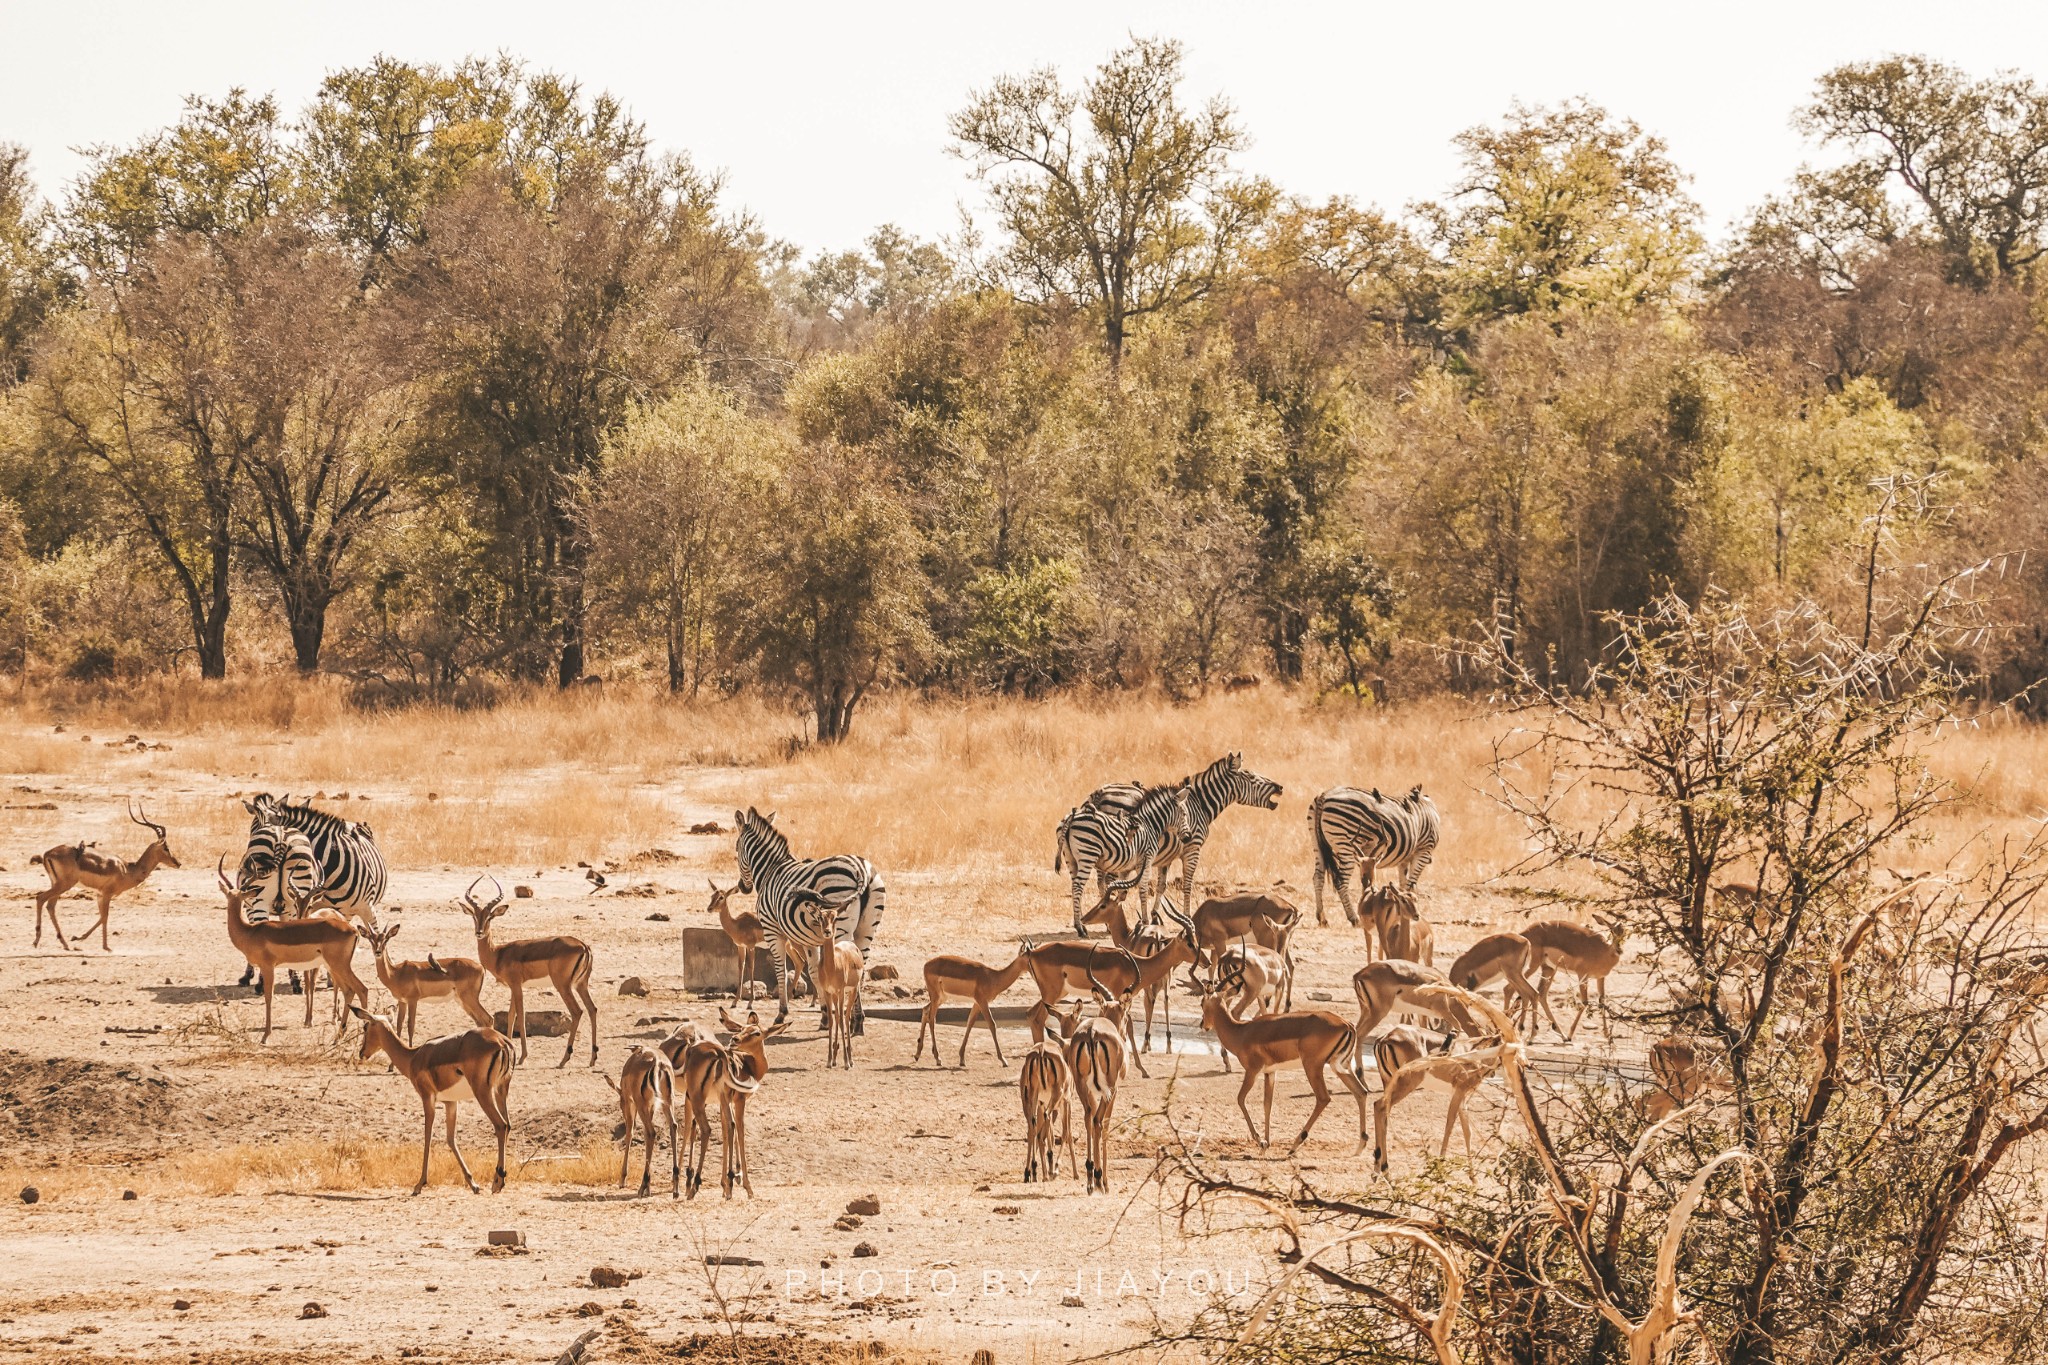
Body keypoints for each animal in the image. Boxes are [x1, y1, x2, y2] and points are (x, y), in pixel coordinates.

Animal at [733, 806, 884, 1031]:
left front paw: (782, 1013)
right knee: (861, 967)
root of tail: (861, 870)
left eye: (736, 850)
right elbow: (814, 972)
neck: (770, 870)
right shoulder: (810, 939)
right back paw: (857, 1020)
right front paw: (824, 1016)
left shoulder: (772, 931)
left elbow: (780, 970)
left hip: (841, 927)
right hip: (867, 929)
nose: (742, 887)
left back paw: (849, 1018)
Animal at [1048, 777, 1196, 941]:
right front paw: (1145, 922)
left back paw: (1081, 924)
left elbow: (1122, 892)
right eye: (1184, 814)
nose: (1189, 837)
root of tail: (1072, 818)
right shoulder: (1146, 860)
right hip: (1088, 853)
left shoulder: (1127, 866)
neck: (1150, 824)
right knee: (1078, 886)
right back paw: (1080, 928)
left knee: (1074, 886)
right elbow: (1143, 889)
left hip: (1071, 859)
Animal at [1310, 785, 1441, 933]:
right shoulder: (1424, 850)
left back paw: (1322, 918)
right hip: (1345, 842)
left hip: (1316, 842)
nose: (1431, 860)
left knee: (1318, 877)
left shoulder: (1405, 860)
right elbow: (1411, 884)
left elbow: (1403, 884)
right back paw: (1353, 918)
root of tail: (1324, 795)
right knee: (1341, 881)